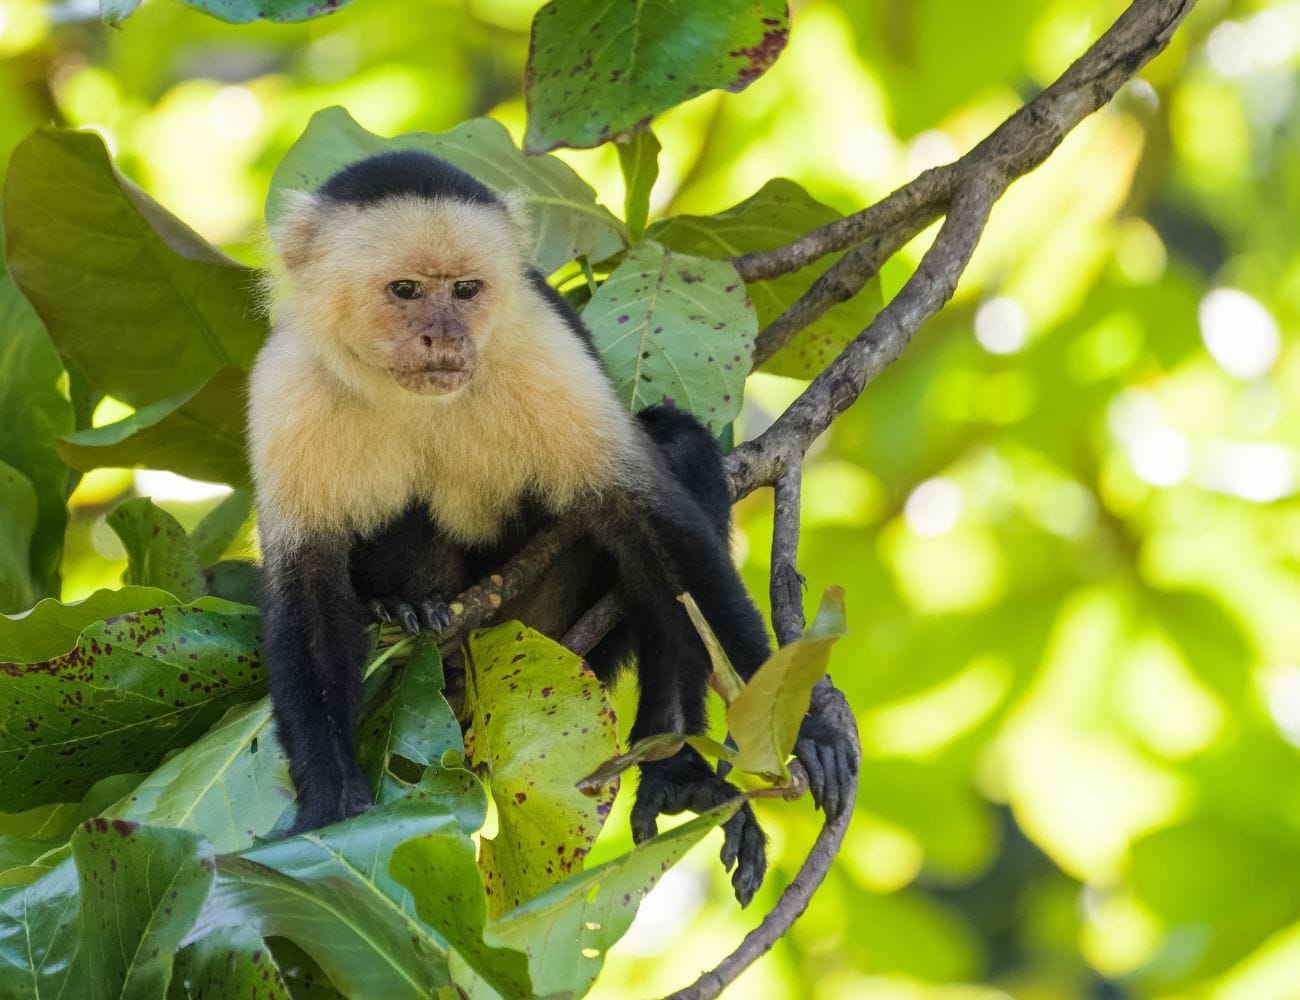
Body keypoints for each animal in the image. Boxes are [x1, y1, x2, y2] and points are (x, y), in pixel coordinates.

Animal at [248, 149, 858, 906]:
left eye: (467, 290)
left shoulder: (536, 344)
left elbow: (649, 522)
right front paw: (332, 804)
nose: (446, 336)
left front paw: (801, 725)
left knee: (676, 455)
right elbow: (306, 589)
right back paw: (408, 608)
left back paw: (674, 758)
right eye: (406, 290)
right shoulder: (285, 385)